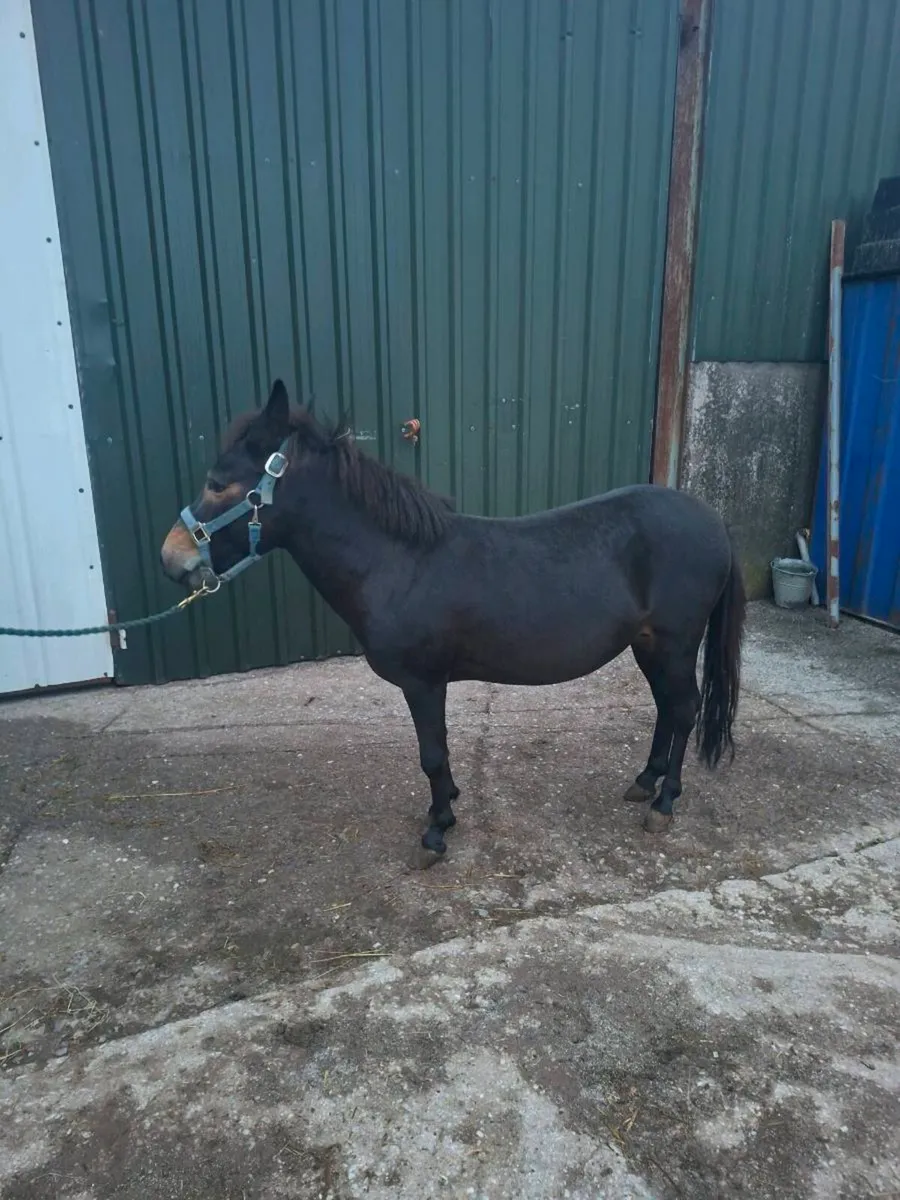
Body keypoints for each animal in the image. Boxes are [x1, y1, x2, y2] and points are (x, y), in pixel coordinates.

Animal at [161, 381, 745, 855]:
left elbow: (432, 754)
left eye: (218, 483)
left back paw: (664, 803)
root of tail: (714, 520)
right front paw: (445, 806)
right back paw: (645, 782)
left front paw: (437, 829)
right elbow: (437, 754)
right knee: (667, 708)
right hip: (648, 645)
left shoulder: (423, 682)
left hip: (674, 642)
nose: (171, 559)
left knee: (684, 709)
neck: (398, 561)